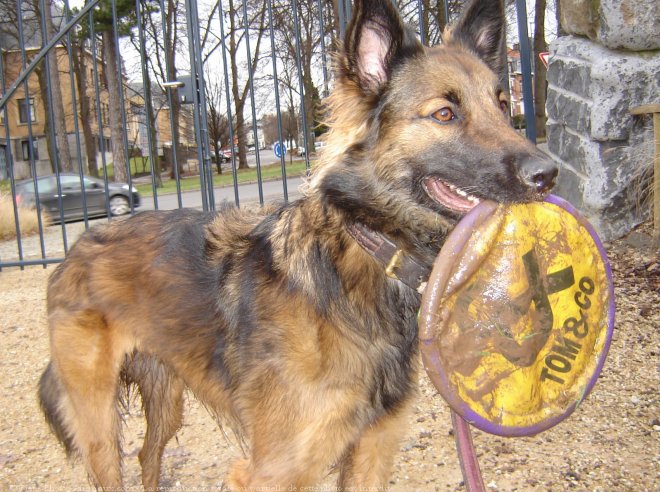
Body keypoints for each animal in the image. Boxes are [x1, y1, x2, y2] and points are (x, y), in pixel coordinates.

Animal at [38, 0, 556, 488]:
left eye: (503, 105)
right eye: (445, 114)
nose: (548, 174)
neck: (366, 255)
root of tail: (77, 246)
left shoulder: (373, 449)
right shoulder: (269, 471)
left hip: (166, 393)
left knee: (149, 455)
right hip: (99, 424)